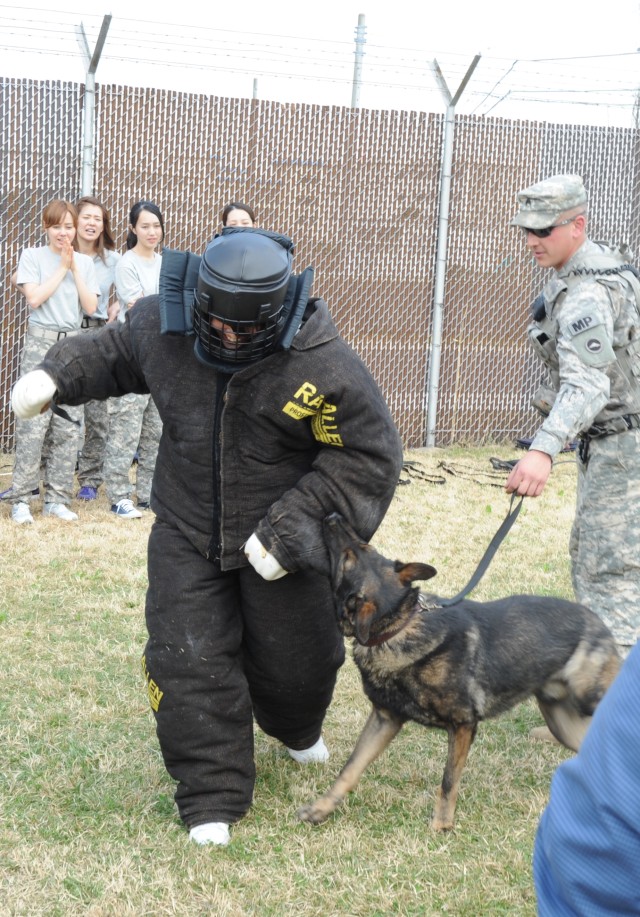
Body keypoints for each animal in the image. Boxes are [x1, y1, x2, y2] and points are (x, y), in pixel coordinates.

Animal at [298, 512, 624, 832]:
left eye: (352, 555)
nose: (332, 516)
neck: (399, 627)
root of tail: (598, 622)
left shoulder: (464, 725)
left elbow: (448, 779)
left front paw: (442, 824)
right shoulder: (384, 719)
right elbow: (350, 768)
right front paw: (321, 808)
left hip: (587, 696)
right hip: (563, 724)